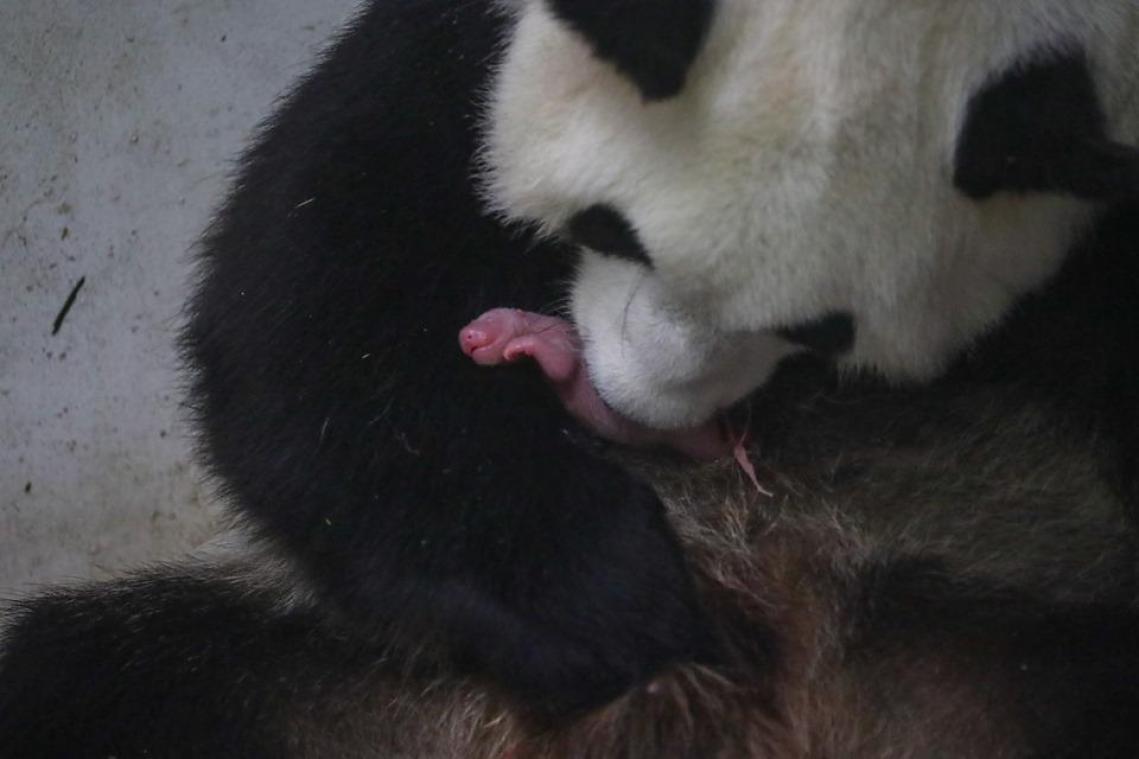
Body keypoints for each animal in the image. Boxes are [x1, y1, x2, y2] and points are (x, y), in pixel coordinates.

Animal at [2, 0, 1138, 756]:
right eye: (604, 228)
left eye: (819, 330)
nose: (628, 405)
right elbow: (316, 294)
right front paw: (608, 595)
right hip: (321, 689)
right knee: (94, 685)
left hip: (1001, 615)